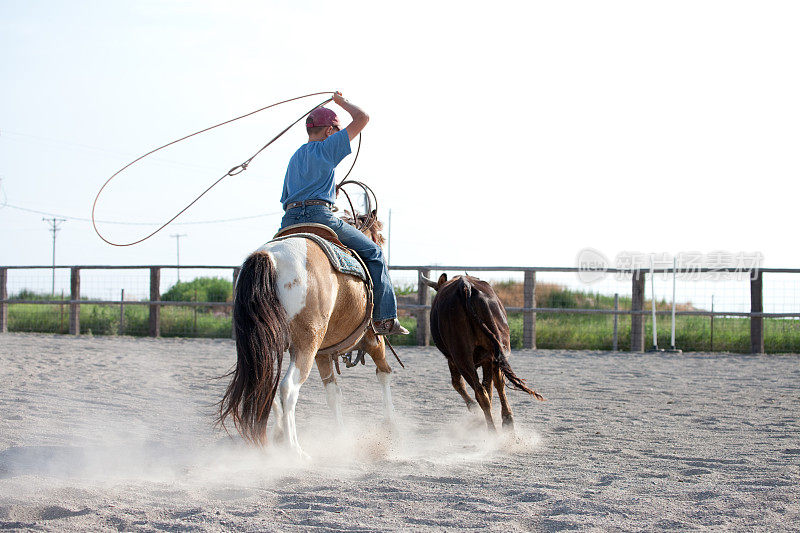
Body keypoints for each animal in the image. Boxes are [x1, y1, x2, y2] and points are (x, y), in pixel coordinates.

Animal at [217, 211, 396, 454]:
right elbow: (384, 373)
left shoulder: (323, 353)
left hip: (271, 346)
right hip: (306, 345)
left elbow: (333, 392)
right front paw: (391, 425)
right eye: (380, 238)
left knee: (266, 386)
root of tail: (270, 258)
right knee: (288, 389)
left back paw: (277, 436)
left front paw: (341, 436)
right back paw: (295, 450)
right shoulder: (373, 339)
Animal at [418, 272, 544, 430]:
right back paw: (506, 422)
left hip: (462, 359)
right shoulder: (486, 359)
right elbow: (489, 386)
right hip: (495, 352)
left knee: (480, 392)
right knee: (496, 386)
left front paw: (473, 408)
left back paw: (491, 428)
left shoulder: (452, 359)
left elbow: (458, 383)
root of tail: (465, 286)